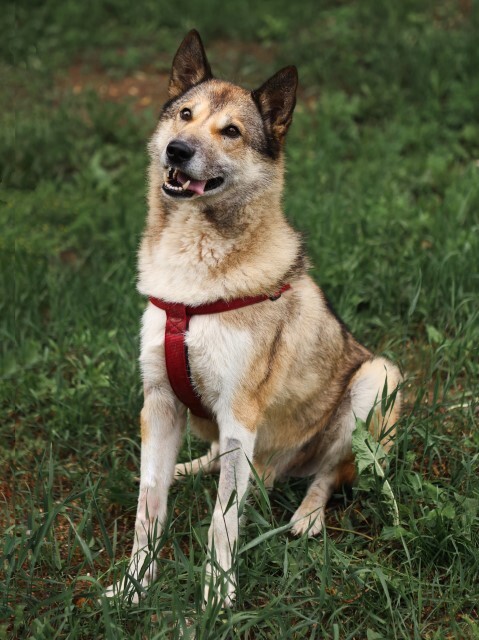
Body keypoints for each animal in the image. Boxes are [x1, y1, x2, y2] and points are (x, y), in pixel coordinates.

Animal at [107, 30, 404, 608]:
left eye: (232, 131)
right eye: (185, 114)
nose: (178, 150)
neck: (192, 280)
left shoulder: (239, 413)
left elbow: (221, 522)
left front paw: (217, 599)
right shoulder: (160, 402)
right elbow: (147, 507)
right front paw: (134, 586)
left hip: (379, 378)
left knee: (332, 472)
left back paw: (307, 516)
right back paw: (189, 469)